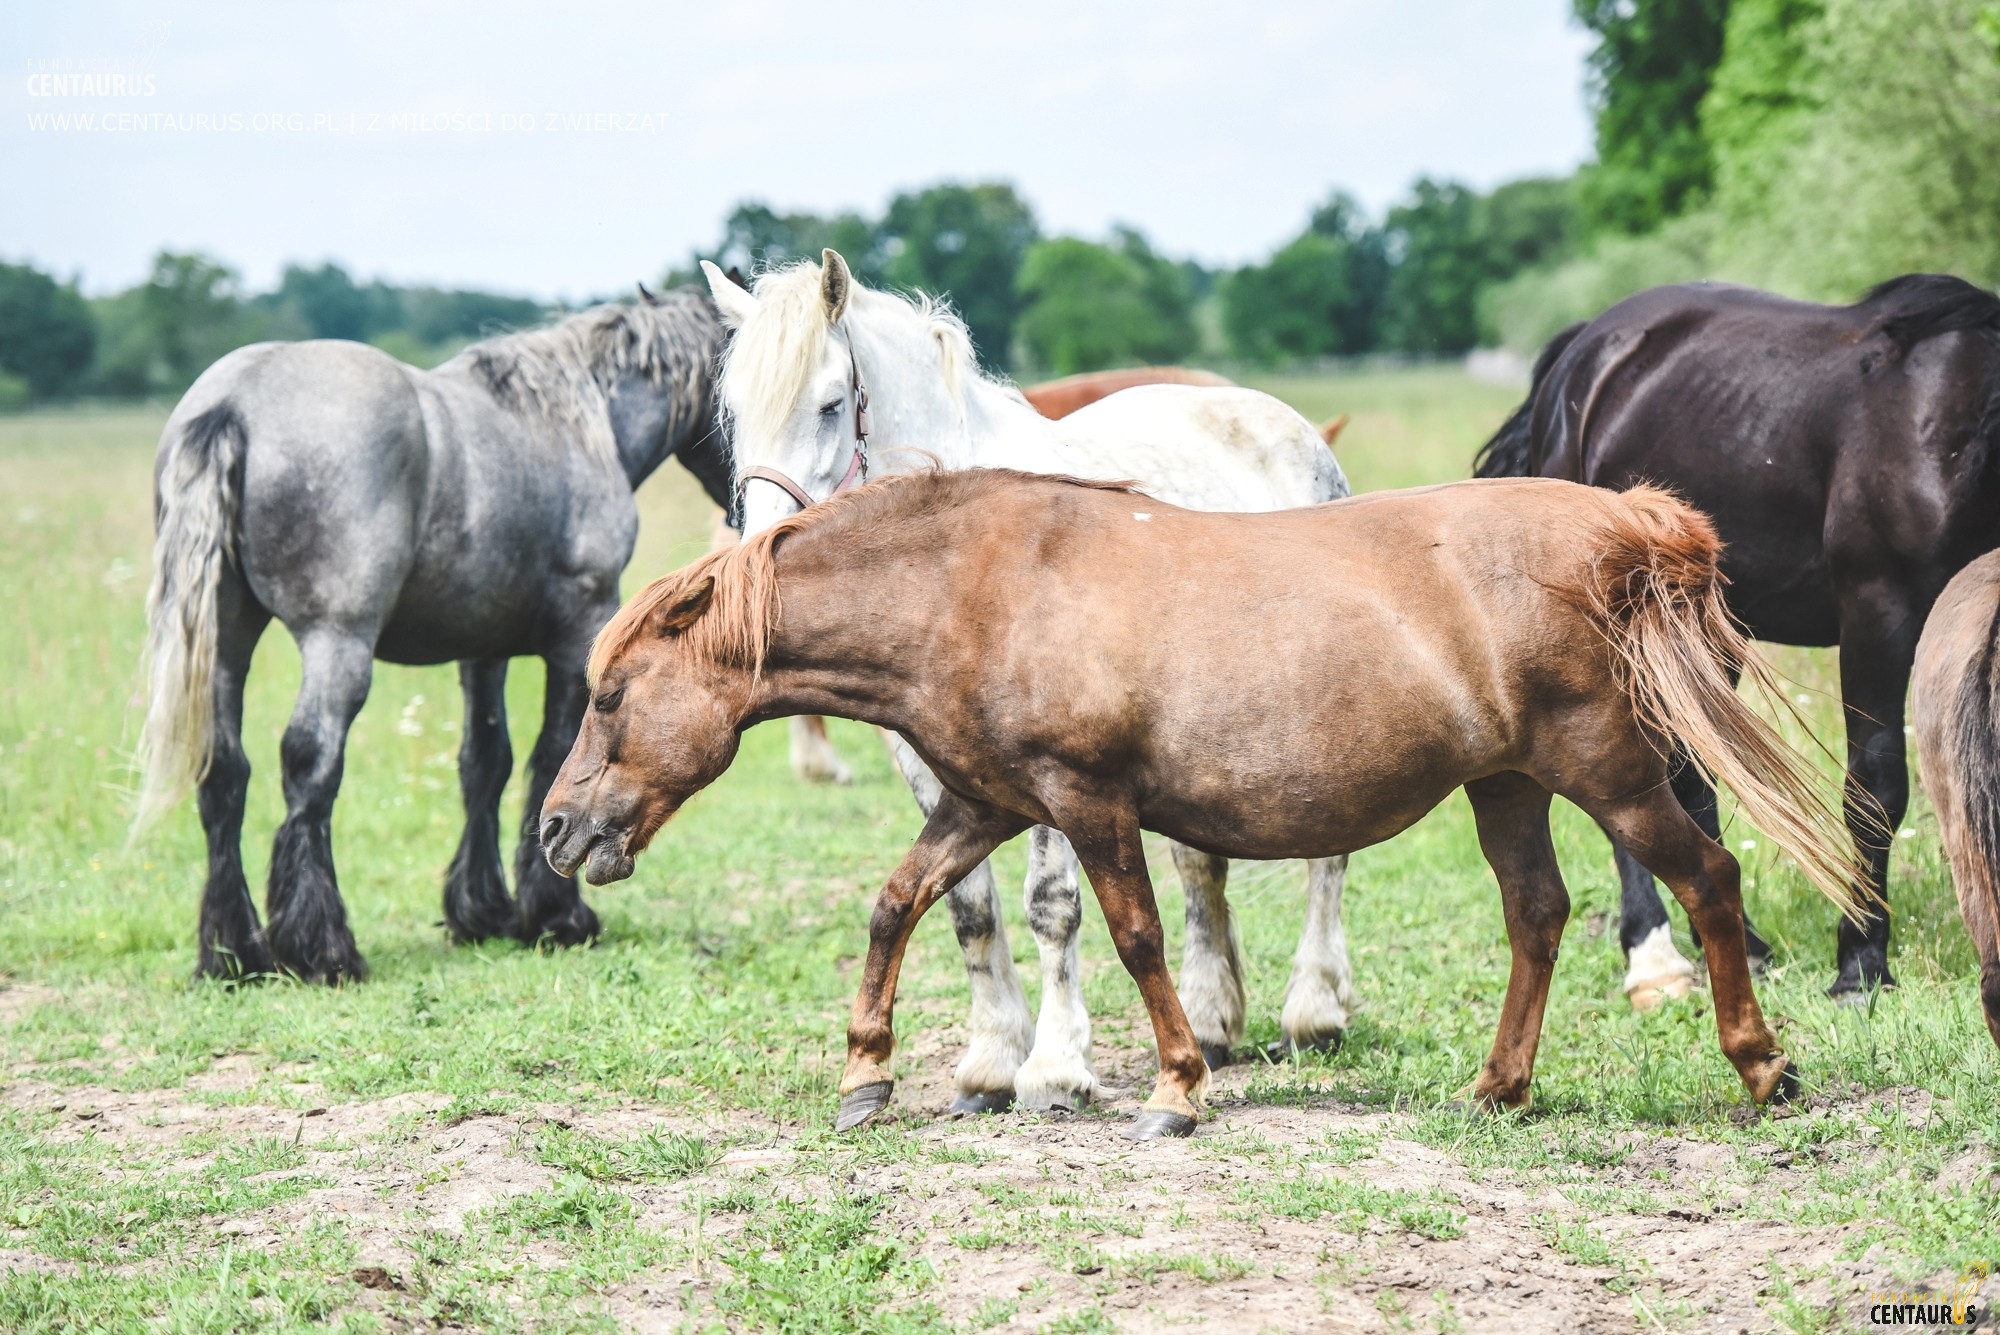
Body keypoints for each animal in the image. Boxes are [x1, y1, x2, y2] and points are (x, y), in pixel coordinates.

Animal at [141, 287, 736, 987]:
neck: (576, 422)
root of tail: (233, 402)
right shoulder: (576, 634)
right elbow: (555, 756)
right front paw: (555, 916)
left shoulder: (483, 651)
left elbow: (485, 762)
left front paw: (482, 912)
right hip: (336, 643)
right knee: (309, 766)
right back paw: (323, 949)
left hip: (227, 643)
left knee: (224, 774)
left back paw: (235, 954)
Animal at [544, 467, 1856, 1135]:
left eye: (608, 694)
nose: (558, 833)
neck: (974, 588)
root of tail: (1625, 523)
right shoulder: (982, 803)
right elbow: (894, 904)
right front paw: (865, 1074)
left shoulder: (1086, 801)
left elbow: (1133, 938)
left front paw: (1176, 1089)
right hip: (1506, 787)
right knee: (1534, 914)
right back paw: (1497, 1089)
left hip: (1608, 773)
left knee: (1705, 879)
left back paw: (1762, 1071)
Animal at [704, 252, 1360, 1119]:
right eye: (733, 414)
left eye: (830, 403)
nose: (758, 563)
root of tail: (1290, 425)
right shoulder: (928, 759)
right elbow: (966, 904)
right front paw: (989, 1062)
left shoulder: (1056, 764)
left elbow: (1053, 904)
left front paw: (1054, 1067)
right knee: (1200, 869)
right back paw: (1215, 1020)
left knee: (1326, 858)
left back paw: (1314, 1011)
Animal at [1472, 273, 2000, 999]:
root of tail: (1581, 352)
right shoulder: (1878, 610)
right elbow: (1876, 786)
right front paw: (1861, 963)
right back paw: (1653, 954)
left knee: (1686, 776)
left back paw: (1736, 942)